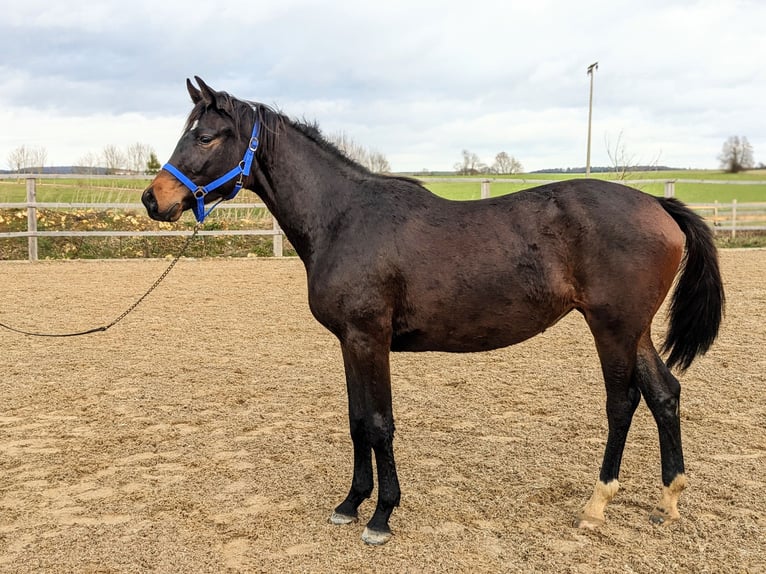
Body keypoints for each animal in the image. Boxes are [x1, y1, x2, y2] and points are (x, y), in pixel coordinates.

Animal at [144, 77, 728, 548]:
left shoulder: (369, 338)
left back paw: (596, 505)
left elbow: (379, 423)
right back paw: (669, 501)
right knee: (664, 394)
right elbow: (357, 421)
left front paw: (381, 516)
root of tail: (656, 204)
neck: (344, 217)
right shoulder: (349, 342)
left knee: (623, 402)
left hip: (613, 327)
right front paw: (350, 504)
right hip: (636, 329)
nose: (154, 199)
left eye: (206, 136)